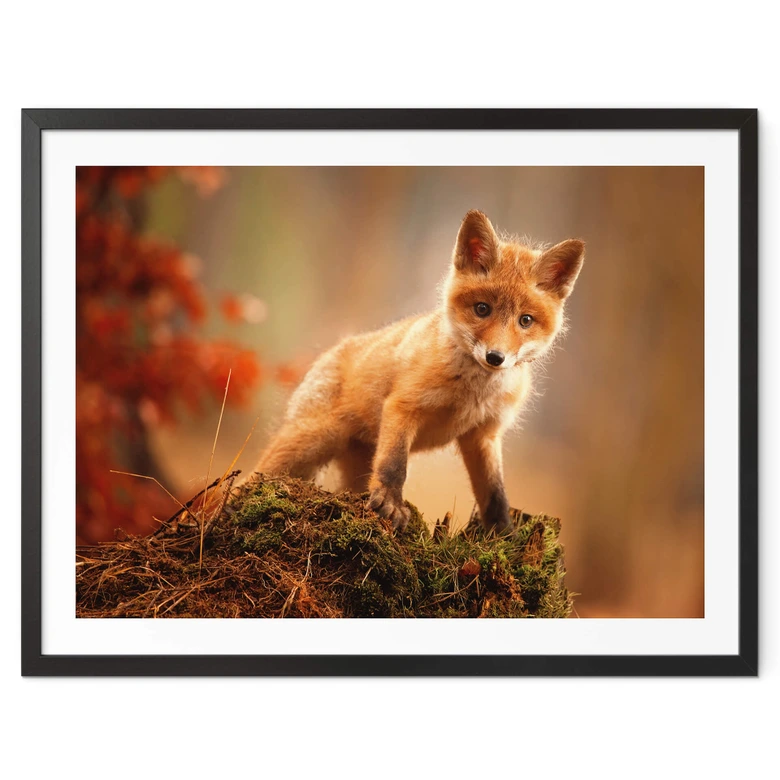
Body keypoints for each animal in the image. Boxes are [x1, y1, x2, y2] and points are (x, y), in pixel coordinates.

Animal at [255, 210, 584, 534]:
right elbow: (394, 465)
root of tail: (330, 351)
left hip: (353, 464)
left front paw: (502, 535)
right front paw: (391, 505)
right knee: (255, 475)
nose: (495, 357)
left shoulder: (483, 434)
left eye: (525, 320)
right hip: (309, 442)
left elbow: (495, 493)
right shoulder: (403, 407)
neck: (472, 393)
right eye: (482, 309)